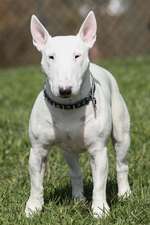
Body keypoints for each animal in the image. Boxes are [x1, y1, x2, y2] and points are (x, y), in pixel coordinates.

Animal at [25, 11, 131, 218]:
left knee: (122, 165)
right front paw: (33, 208)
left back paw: (125, 194)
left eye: (77, 56)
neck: (69, 106)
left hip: (122, 134)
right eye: (51, 57)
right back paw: (78, 199)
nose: (65, 89)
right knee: (75, 171)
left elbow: (99, 184)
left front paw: (100, 210)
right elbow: (36, 183)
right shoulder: (38, 150)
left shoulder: (98, 151)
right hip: (68, 150)